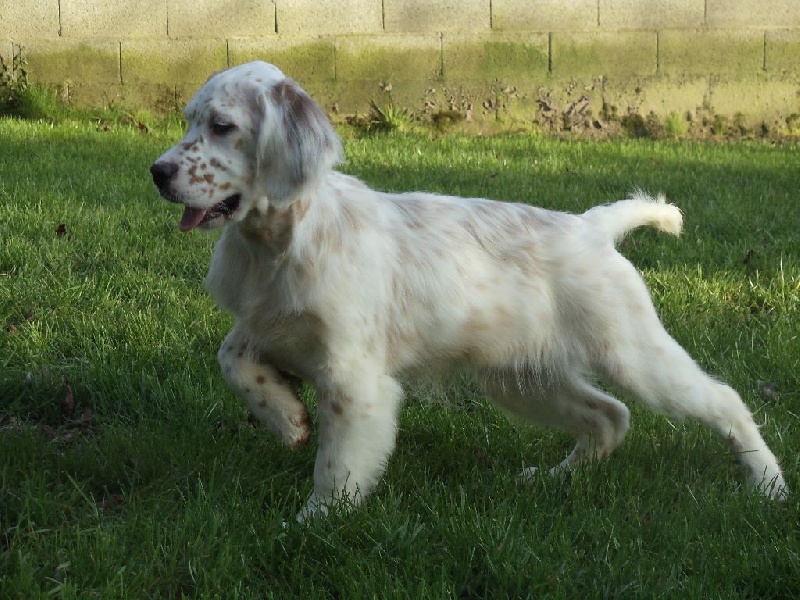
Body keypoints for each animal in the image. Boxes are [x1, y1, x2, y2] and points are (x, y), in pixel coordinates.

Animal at [150, 62, 788, 520]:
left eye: (222, 127)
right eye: (188, 121)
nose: (157, 172)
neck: (278, 241)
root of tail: (593, 226)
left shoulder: (354, 379)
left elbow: (336, 469)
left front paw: (312, 525)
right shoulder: (263, 324)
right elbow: (232, 358)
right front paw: (285, 419)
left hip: (632, 354)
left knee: (723, 400)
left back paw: (769, 486)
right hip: (523, 377)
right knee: (609, 416)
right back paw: (553, 481)